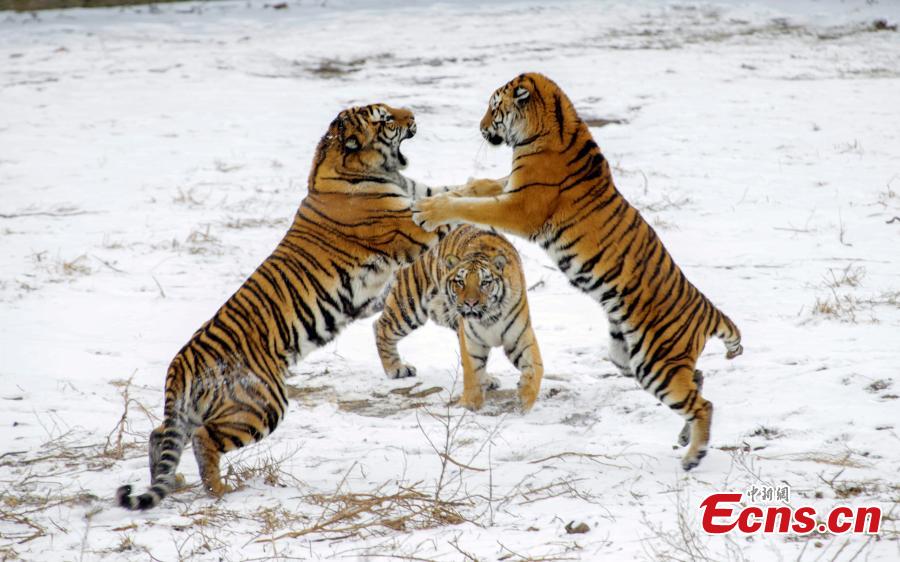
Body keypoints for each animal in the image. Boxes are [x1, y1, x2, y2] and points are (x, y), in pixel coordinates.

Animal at [118, 103, 472, 510]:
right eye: (384, 118)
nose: (412, 114)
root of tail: (181, 364)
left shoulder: (420, 196)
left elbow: (456, 191)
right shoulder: (409, 228)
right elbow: (450, 212)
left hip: (192, 412)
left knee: (159, 434)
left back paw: (171, 480)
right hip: (261, 404)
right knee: (204, 439)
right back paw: (219, 491)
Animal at [372, 224, 540, 412]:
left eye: (484, 283)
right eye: (460, 282)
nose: (470, 303)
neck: (490, 317)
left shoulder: (519, 336)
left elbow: (532, 367)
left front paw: (525, 396)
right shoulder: (470, 339)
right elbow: (473, 370)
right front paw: (470, 404)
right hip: (410, 304)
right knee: (381, 326)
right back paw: (396, 369)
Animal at [412, 73, 740, 468]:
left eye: (493, 107)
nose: (480, 127)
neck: (549, 129)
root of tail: (708, 310)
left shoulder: (520, 207)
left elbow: (475, 206)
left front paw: (429, 209)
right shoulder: (511, 186)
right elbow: (481, 186)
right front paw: (445, 190)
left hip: (656, 363)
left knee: (703, 404)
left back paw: (693, 455)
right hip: (628, 358)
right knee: (699, 379)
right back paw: (683, 437)